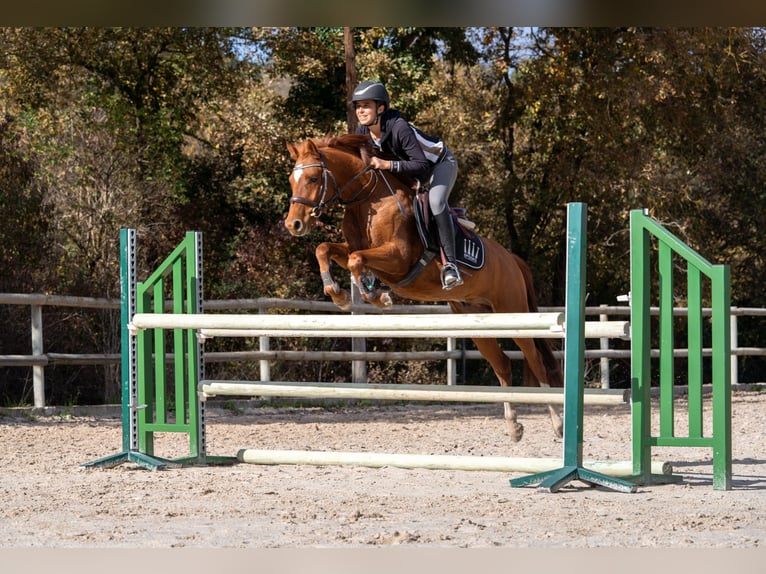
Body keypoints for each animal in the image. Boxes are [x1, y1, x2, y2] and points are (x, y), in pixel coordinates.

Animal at [284, 133, 563, 442]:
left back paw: (557, 423)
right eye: (291, 179)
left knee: (535, 360)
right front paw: (340, 293)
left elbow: (357, 259)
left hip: (512, 311)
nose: (293, 224)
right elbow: (325, 249)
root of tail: (512, 259)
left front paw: (375, 295)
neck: (368, 199)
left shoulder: (398, 257)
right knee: (502, 363)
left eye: (312, 178)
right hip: (478, 320)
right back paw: (513, 426)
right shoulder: (355, 250)